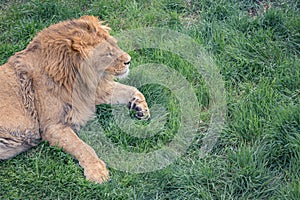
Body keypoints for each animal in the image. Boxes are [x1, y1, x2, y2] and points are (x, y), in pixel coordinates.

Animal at [0, 15, 150, 184]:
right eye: (107, 54)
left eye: (114, 45)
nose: (129, 61)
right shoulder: (52, 126)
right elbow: (82, 147)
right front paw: (97, 171)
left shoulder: (92, 94)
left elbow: (130, 89)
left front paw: (140, 107)